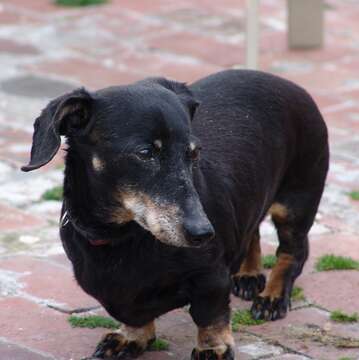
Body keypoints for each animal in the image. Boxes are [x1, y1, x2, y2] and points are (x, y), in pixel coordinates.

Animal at [21, 70, 330, 360]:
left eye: (193, 152)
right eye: (145, 153)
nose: (203, 233)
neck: (123, 236)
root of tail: (287, 83)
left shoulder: (211, 276)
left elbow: (209, 315)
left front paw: (213, 348)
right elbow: (132, 315)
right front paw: (132, 337)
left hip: (296, 201)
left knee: (294, 252)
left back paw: (273, 296)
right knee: (252, 229)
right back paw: (248, 274)